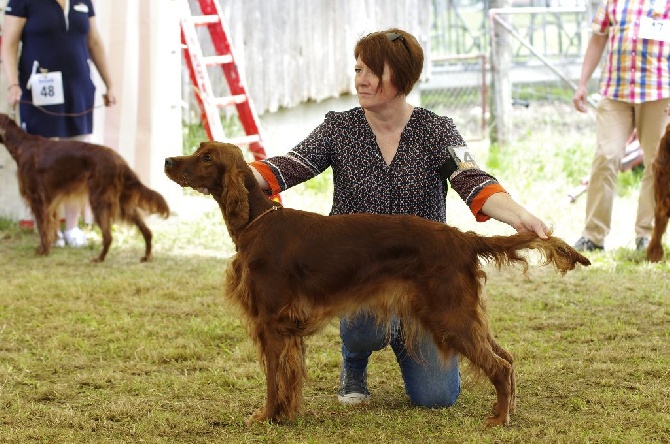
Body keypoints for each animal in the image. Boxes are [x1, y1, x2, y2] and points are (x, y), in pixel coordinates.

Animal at [1, 112, 169, 262]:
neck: (21, 145)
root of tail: (120, 161)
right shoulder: (50, 202)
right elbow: (50, 226)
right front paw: (47, 248)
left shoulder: (38, 199)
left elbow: (43, 229)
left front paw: (43, 251)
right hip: (122, 204)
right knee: (146, 231)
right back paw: (146, 256)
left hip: (98, 200)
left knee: (108, 236)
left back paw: (99, 259)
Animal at [165, 142, 592, 426]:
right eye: (198, 150)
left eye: (207, 157)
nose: (168, 160)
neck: (256, 221)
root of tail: (461, 237)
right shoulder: (285, 328)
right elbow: (289, 376)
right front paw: (286, 414)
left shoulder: (271, 322)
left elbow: (273, 378)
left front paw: (266, 416)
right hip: (463, 313)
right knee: (507, 358)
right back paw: (506, 411)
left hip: (449, 314)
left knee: (500, 366)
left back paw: (498, 420)